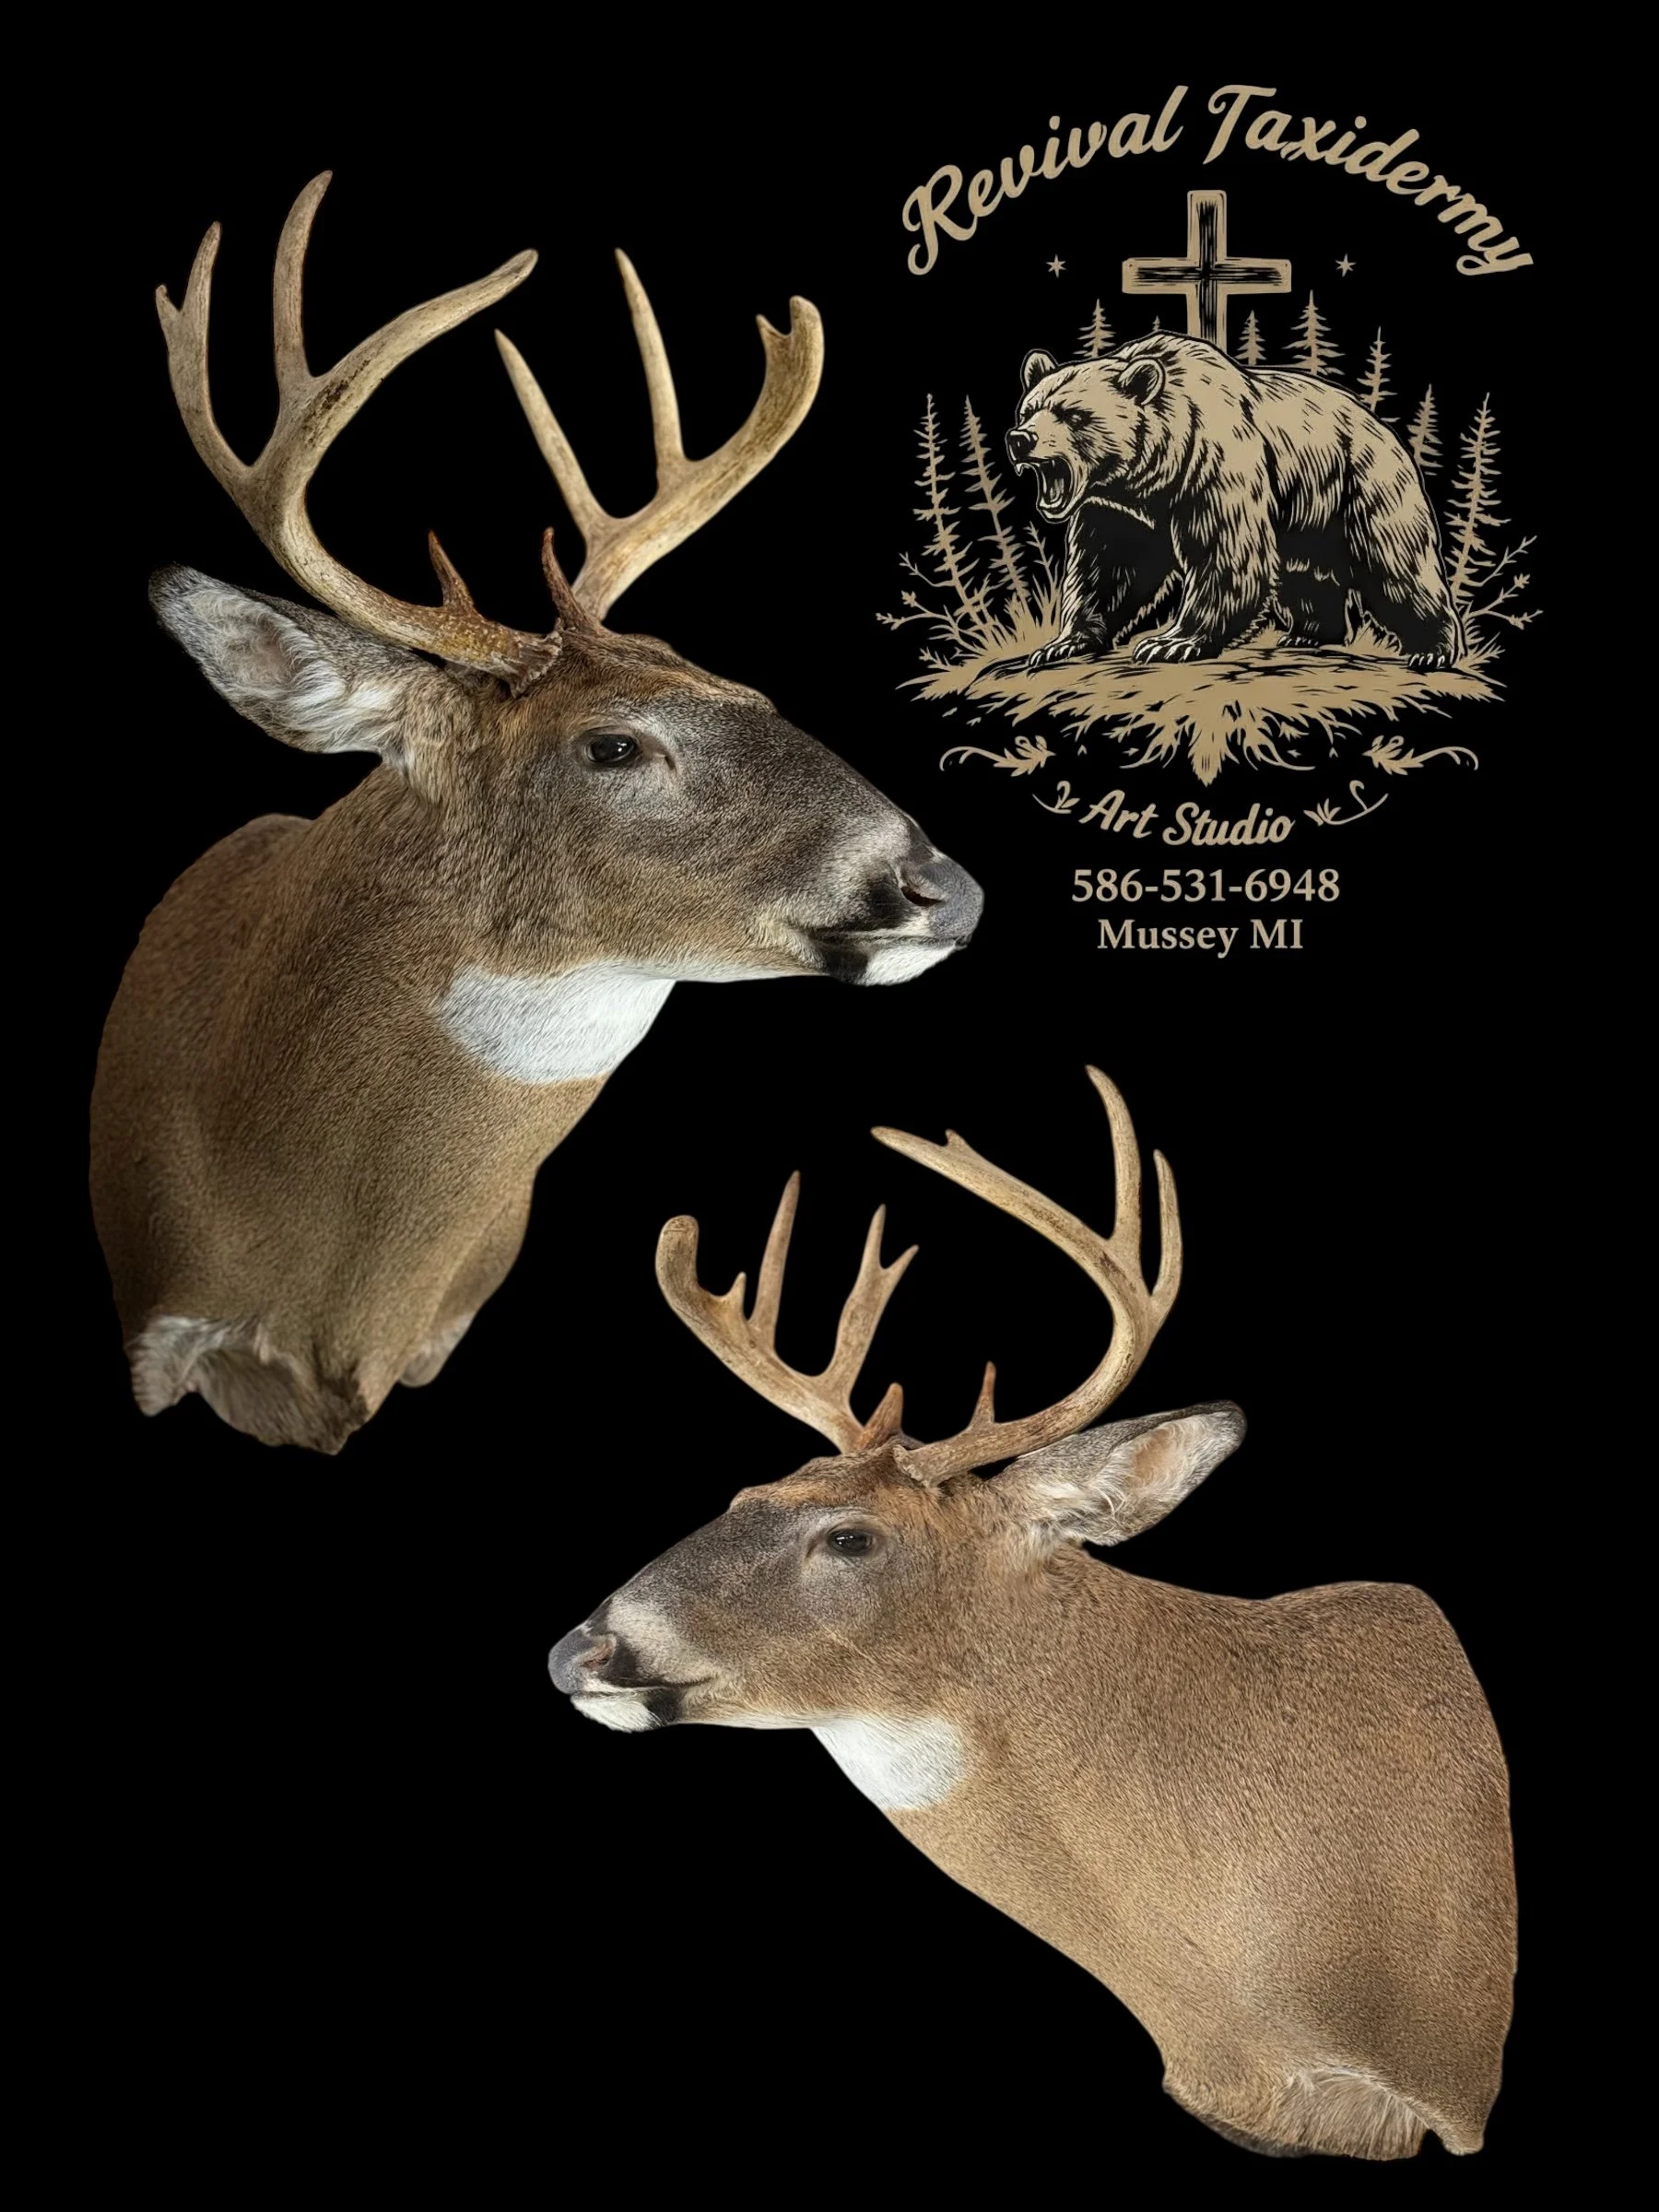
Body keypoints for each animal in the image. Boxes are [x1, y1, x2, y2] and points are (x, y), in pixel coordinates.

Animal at [1006, 334, 1462, 672]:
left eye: (1073, 415)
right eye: (1028, 409)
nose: (1020, 438)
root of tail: (1386, 431)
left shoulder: (1216, 467)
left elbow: (1227, 554)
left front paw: (1169, 641)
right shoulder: (1118, 509)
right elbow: (1106, 568)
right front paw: (1062, 643)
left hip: (1362, 485)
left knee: (1397, 565)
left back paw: (1432, 649)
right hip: (1308, 520)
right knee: (1306, 574)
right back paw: (1308, 633)